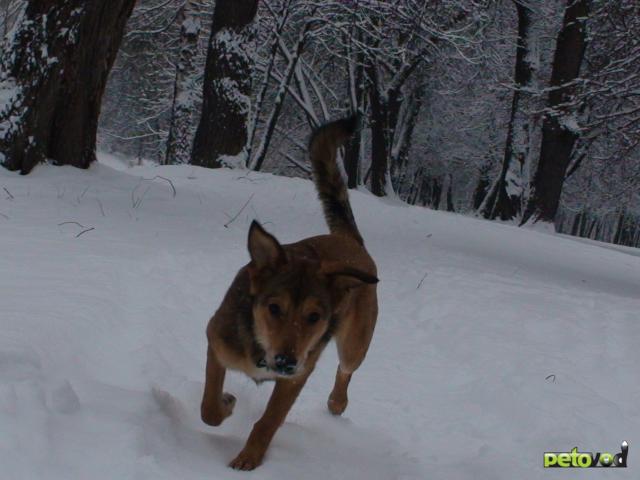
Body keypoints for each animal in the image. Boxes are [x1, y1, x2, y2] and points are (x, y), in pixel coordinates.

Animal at [202, 118, 378, 470]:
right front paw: (225, 403)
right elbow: (209, 408)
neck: (261, 348)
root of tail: (351, 242)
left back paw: (337, 401)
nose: (285, 361)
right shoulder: (216, 340)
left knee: (345, 369)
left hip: (355, 344)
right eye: (274, 308)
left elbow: (269, 421)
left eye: (314, 316)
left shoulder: (297, 376)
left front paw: (249, 458)